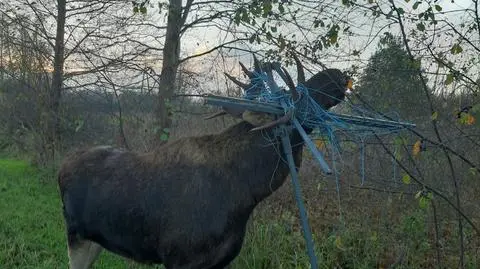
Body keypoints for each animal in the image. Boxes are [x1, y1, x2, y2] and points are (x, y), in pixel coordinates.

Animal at [58, 55, 352, 268]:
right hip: (76, 236)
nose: (335, 74)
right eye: (292, 98)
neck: (247, 193)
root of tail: (61, 168)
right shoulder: (179, 257)